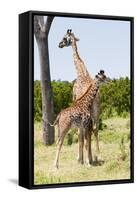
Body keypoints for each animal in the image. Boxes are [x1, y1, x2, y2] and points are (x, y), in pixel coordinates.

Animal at [58, 29, 100, 164]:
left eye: (64, 38)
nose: (59, 44)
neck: (81, 72)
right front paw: (86, 157)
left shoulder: (75, 102)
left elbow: (79, 133)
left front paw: (80, 158)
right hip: (97, 111)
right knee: (95, 129)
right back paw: (98, 156)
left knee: (88, 131)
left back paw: (88, 157)